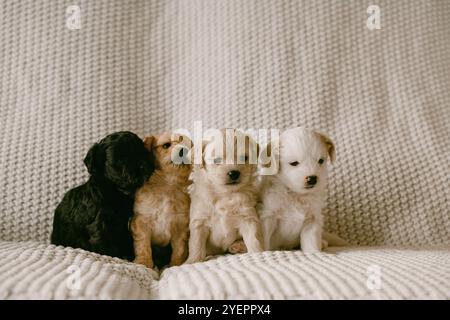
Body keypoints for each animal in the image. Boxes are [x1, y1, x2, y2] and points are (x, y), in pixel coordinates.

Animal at [51, 131, 155, 260]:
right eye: (120, 159)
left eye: (142, 151)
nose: (143, 165)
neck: (115, 191)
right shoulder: (100, 226)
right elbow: (106, 247)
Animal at [131, 132, 192, 268]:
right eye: (166, 145)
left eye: (188, 146)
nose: (184, 150)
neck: (167, 186)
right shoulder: (142, 220)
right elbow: (143, 244)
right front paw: (144, 262)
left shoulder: (180, 224)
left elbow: (179, 248)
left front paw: (176, 264)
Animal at [185, 129, 264, 264]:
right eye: (217, 160)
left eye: (244, 158)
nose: (234, 173)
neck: (225, 194)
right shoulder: (199, 222)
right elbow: (196, 244)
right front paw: (192, 261)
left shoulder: (247, 217)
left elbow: (254, 240)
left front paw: (259, 254)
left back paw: (238, 246)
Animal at [256, 126, 338, 254]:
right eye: (294, 163)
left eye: (321, 161)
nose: (312, 179)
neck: (295, 194)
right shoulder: (268, 216)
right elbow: (264, 239)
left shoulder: (312, 220)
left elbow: (311, 241)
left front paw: (314, 253)